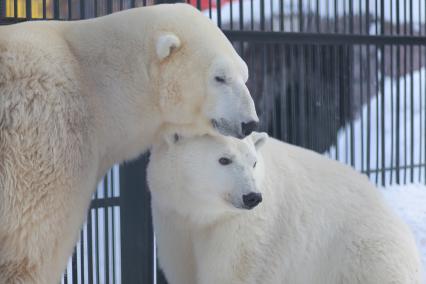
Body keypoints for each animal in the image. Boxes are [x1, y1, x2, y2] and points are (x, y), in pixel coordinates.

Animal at [147, 133, 422, 284]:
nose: (252, 197)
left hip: (360, 255)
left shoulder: (243, 230)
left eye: (253, 162)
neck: (202, 213)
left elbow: (230, 274)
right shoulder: (173, 218)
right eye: (224, 159)